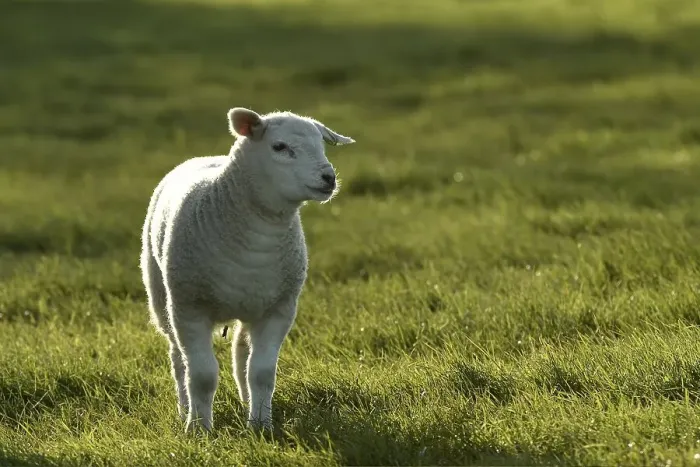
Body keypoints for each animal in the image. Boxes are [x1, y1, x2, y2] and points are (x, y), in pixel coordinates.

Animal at [140, 107, 354, 433]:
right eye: (279, 147)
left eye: (322, 145)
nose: (328, 178)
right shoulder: (189, 308)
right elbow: (202, 375)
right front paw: (199, 429)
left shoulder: (279, 309)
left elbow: (262, 372)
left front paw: (261, 425)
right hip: (162, 299)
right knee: (178, 359)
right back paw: (184, 408)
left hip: (251, 303)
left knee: (241, 350)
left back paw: (245, 402)